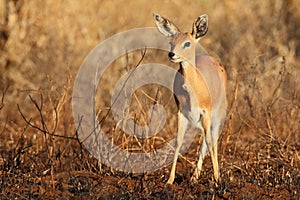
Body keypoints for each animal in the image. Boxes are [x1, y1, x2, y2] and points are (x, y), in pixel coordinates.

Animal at [154, 12, 226, 184]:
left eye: (187, 43)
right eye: (171, 41)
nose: (171, 54)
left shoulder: (205, 113)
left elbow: (210, 142)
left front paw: (217, 180)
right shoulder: (182, 113)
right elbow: (178, 142)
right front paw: (170, 180)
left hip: (217, 116)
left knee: (212, 141)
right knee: (205, 142)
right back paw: (194, 177)